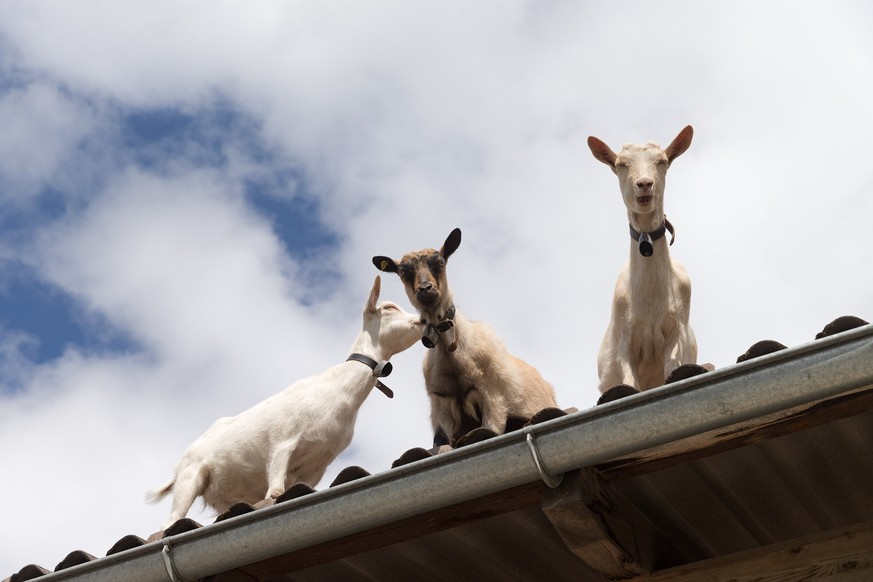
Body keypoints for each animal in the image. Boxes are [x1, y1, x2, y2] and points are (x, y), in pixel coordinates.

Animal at [146, 276, 422, 532]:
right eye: (388, 307)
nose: (421, 320)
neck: (336, 394)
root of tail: (178, 467)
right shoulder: (282, 444)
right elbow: (275, 491)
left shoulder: (315, 467)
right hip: (190, 478)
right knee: (170, 520)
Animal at [372, 229, 556, 448]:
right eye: (402, 272)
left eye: (440, 262)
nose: (425, 289)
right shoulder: (442, 405)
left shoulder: (492, 397)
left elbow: (490, 428)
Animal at [588, 125, 700, 394]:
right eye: (620, 164)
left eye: (662, 161)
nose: (644, 184)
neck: (650, 305)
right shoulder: (626, 343)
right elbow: (630, 382)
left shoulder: (676, 334)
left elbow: (672, 368)